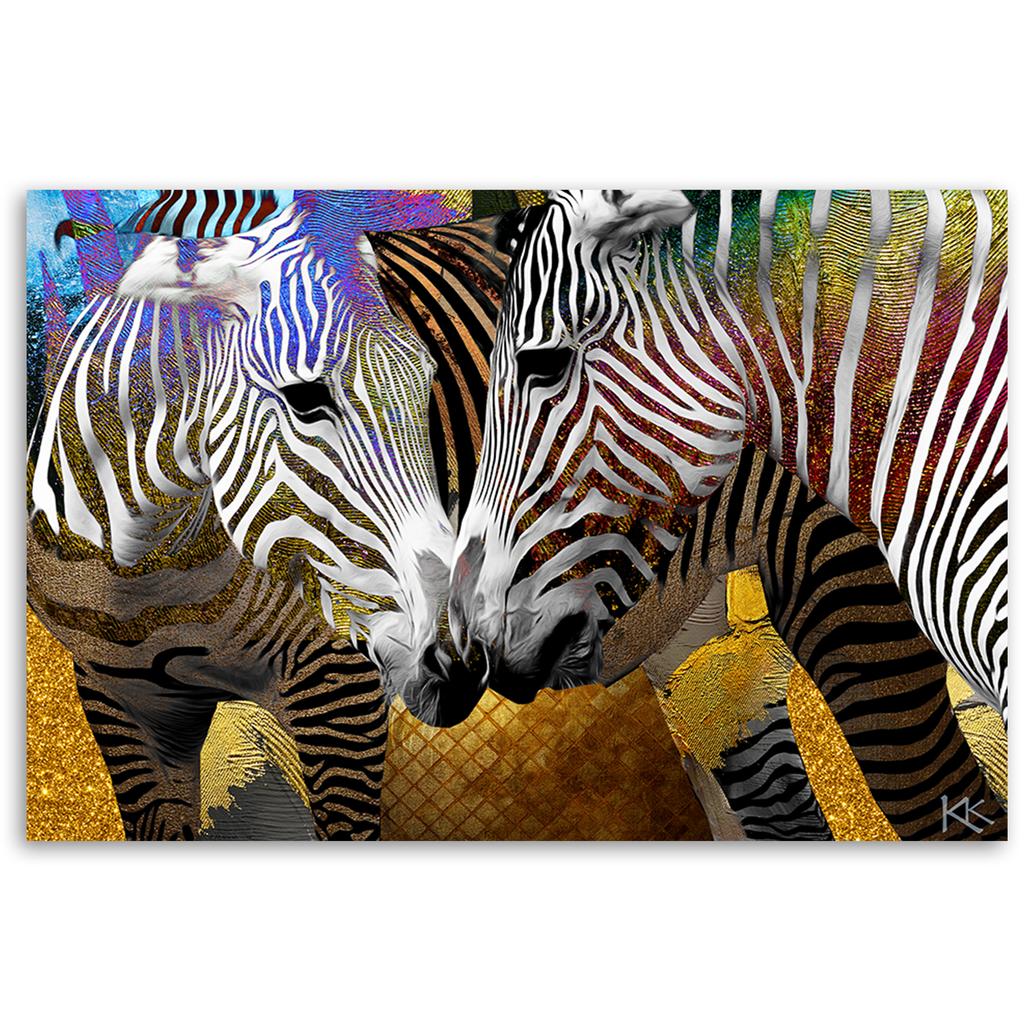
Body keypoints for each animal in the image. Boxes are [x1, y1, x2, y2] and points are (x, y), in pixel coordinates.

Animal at [27, 188, 486, 839]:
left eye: (429, 383)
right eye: (306, 399)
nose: (466, 658)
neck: (141, 573)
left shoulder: (339, 684)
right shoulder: (116, 701)